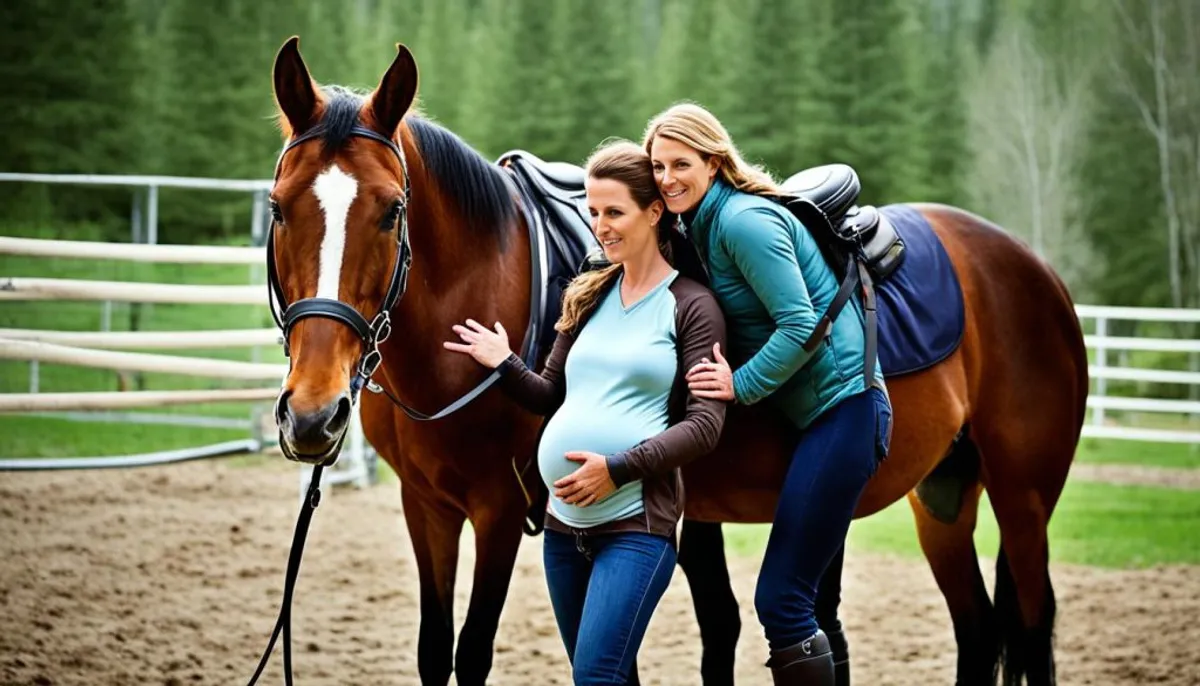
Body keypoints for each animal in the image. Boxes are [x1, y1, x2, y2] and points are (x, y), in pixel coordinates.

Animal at [267, 38, 1094, 686]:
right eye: (277, 207)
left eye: (391, 211)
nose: (313, 414)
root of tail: (1032, 268)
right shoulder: (428, 508)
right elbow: (436, 653)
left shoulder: (499, 510)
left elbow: (472, 655)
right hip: (943, 495)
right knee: (978, 630)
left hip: (1023, 496)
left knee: (1031, 621)